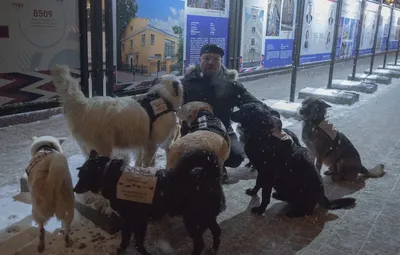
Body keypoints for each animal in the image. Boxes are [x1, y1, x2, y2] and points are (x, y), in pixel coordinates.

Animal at [51, 64, 184, 166]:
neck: (162, 96)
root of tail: (84, 105)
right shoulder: (152, 145)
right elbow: (149, 163)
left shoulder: (142, 145)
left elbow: (139, 161)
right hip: (103, 148)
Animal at [74, 149, 225, 255]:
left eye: (81, 176)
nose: (74, 189)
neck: (109, 175)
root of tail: (210, 174)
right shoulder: (136, 221)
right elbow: (133, 239)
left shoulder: (133, 219)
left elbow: (131, 240)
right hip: (205, 216)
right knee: (216, 231)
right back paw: (214, 248)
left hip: (192, 219)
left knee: (200, 243)